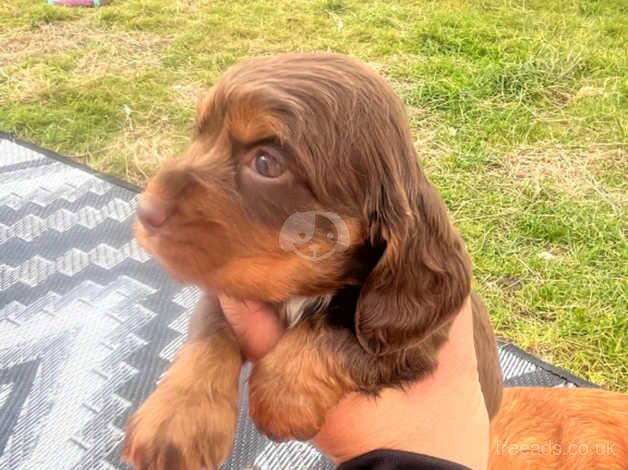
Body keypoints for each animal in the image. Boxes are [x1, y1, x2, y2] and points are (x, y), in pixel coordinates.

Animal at [124, 53, 506, 470]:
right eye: (199, 135)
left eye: (266, 163)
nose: (145, 211)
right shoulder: (227, 286)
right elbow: (209, 329)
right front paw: (176, 419)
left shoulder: (413, 341)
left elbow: (340, 329)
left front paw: (280, 395)